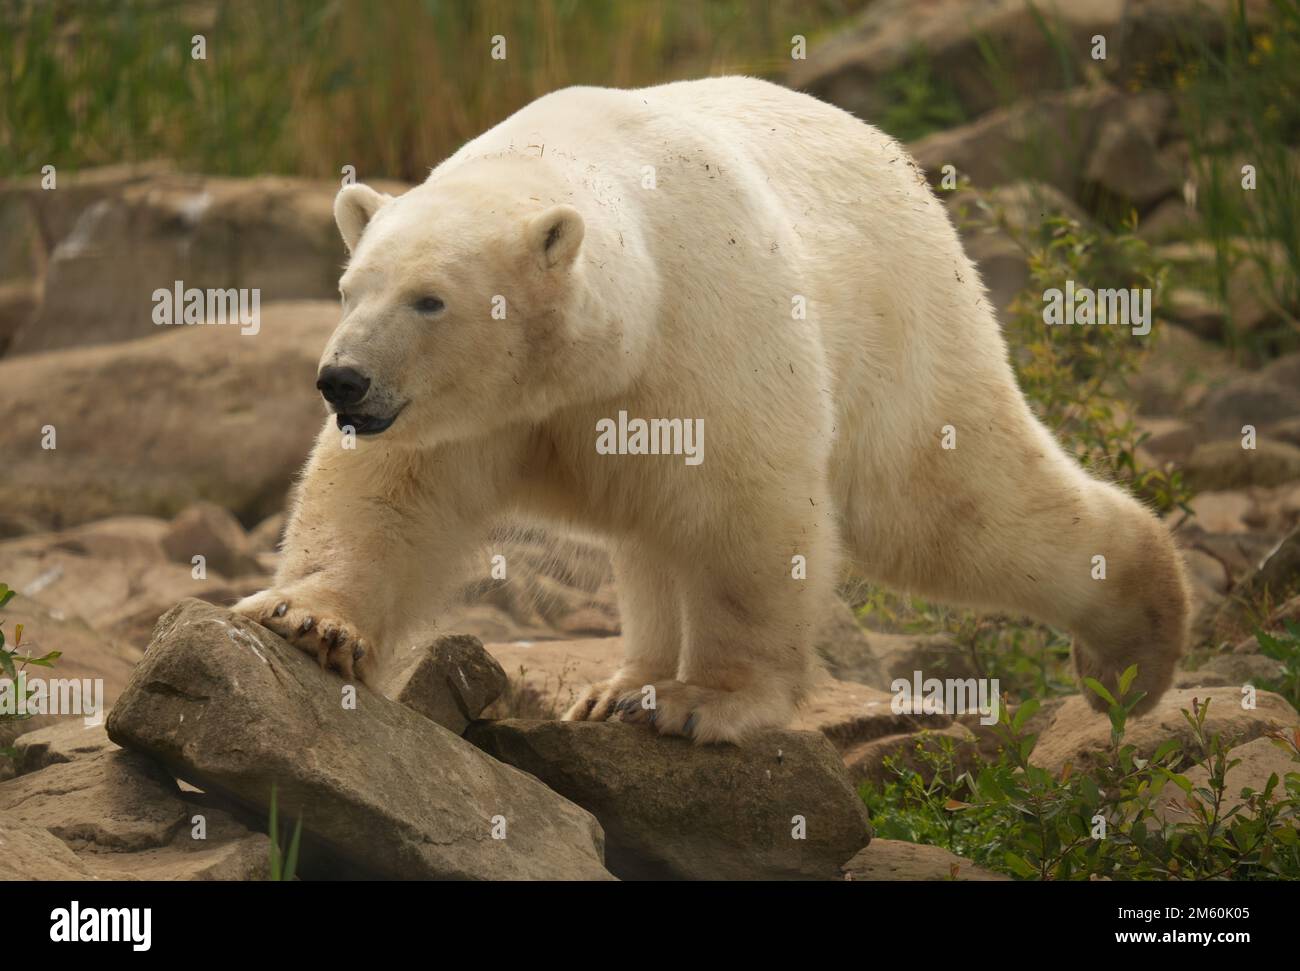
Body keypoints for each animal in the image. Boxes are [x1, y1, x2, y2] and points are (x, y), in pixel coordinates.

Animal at [234, 76, 1190, 744]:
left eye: (430, 299)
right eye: (352, 286)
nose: (342, 380)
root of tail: (902, 163)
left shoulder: (702, 336)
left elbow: (744, 516)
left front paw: (708, 705)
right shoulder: (469, 413)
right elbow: (386, 497)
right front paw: (308, 619)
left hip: (902, 319)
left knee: (950, 505)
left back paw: (1134, 649)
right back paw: (621, 685)